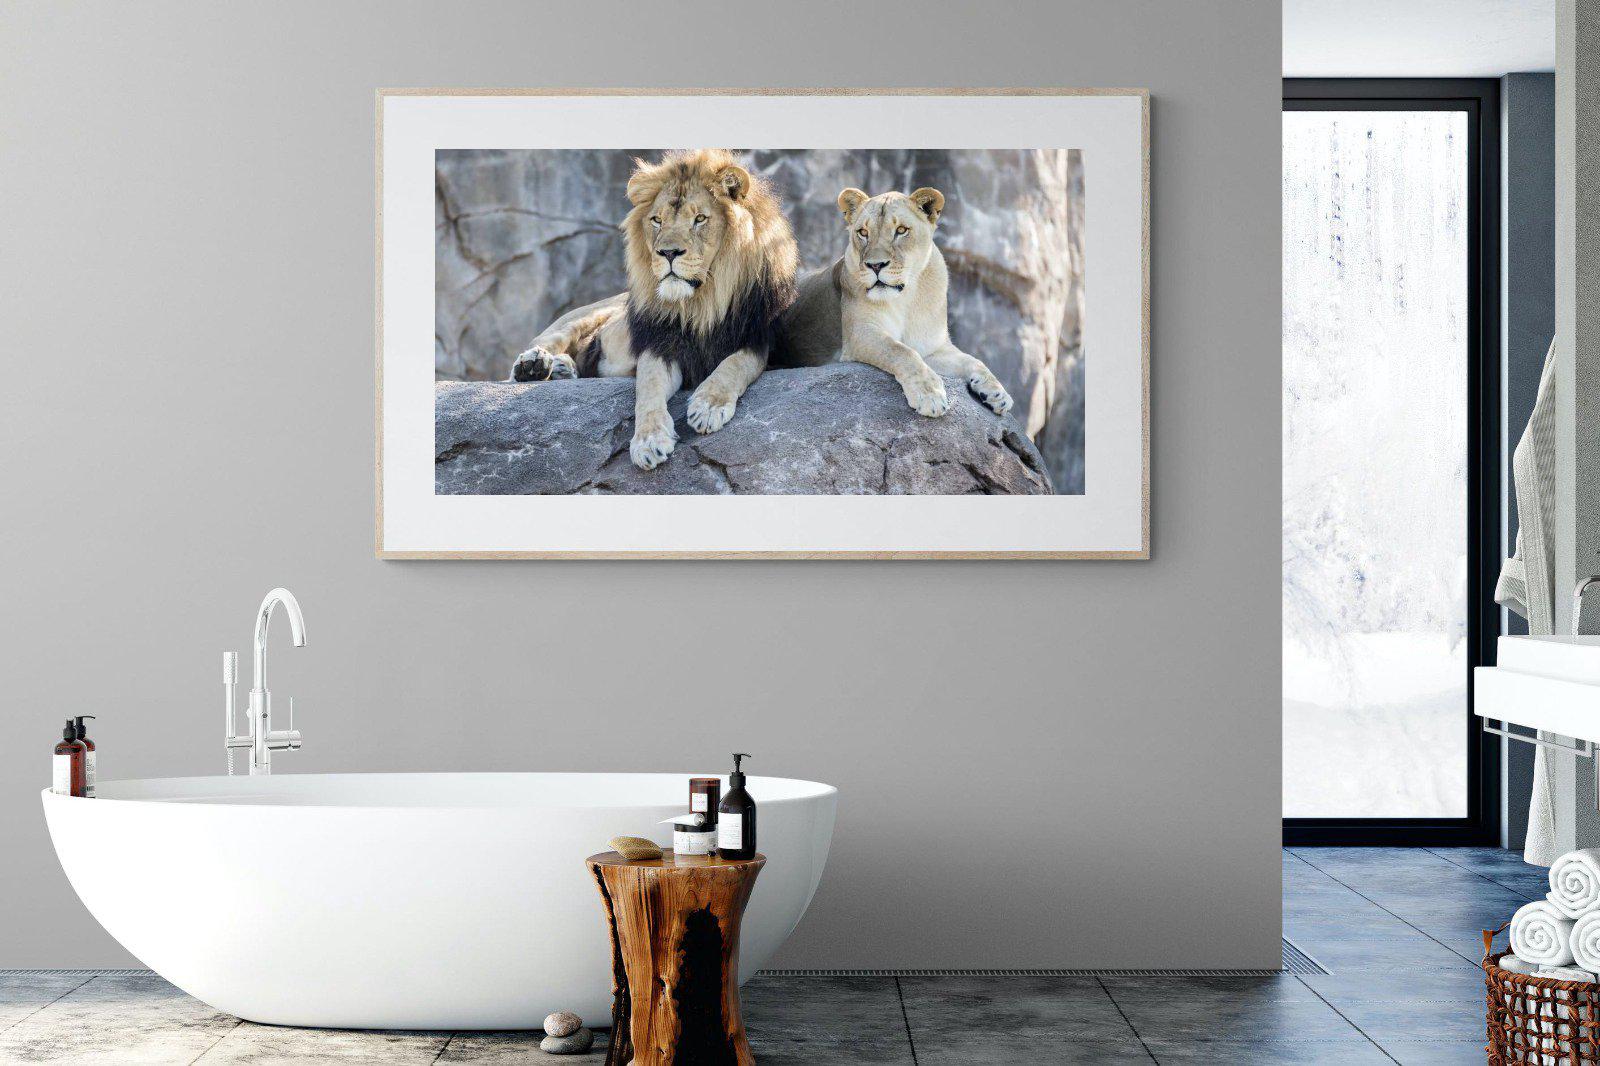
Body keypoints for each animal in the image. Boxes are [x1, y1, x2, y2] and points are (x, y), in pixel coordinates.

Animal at [508, 149, 799, 470]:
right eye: (657, 220)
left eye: (699, 218)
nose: (668, 253)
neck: (701, 302)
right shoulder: (660, 344)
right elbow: (647, 389)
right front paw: (648, 441)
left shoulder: (757, 340)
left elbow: (734, 365)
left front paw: (708, 406)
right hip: (583, 316)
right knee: (544, 343)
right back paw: (534, 365)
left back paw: (562, 368)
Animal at [773, 186, 1013, 419]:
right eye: (863, 232)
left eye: (901, 230)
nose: (875, 265)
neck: (906, 298)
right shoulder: (860, 334)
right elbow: (901, 351)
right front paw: (930, 395)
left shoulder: (932, 348)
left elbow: (973, 360)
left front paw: (997, 393)